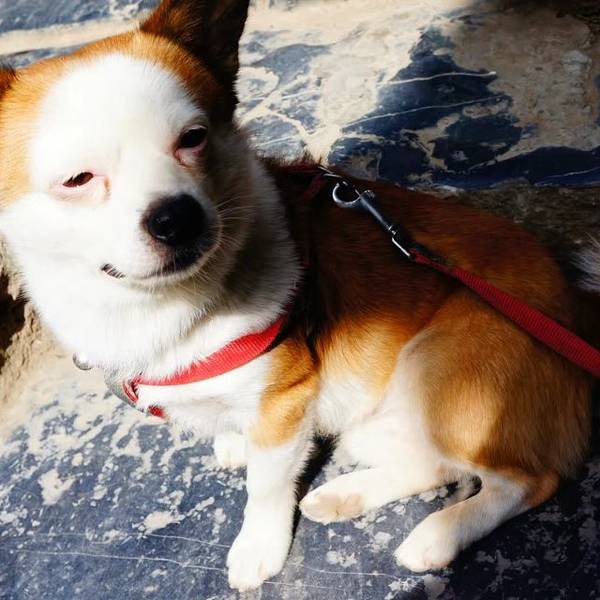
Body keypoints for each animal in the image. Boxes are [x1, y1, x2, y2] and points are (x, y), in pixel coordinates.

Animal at [0, 0, 593, 591]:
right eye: (78, 179)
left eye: (193, 137)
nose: (178, 217)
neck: (162, 305)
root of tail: (575, 311)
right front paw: (232, 440)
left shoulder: (285, 403)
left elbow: (264, 486)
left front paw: (258, 547)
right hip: (373, 421)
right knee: (437, 465)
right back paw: (348, 495)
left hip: (441, 371)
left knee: (528, 480)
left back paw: (437, 535)